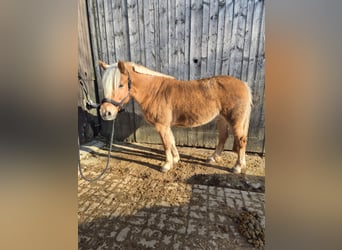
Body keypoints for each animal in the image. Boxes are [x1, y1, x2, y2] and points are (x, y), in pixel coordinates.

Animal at [97, 60, 252, 174]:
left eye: (120, 85)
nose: (106, 113)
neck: (154, 92)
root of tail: (244, 84)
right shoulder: (166, 126)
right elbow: (171, 141)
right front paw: (176, 159)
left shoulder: (161, 126)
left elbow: (166, 144)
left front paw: (166, 165)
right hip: (222, 119)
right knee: (223, 137)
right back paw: (213, 158)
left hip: (234, 121)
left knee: (241, 140)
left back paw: (237, 167)